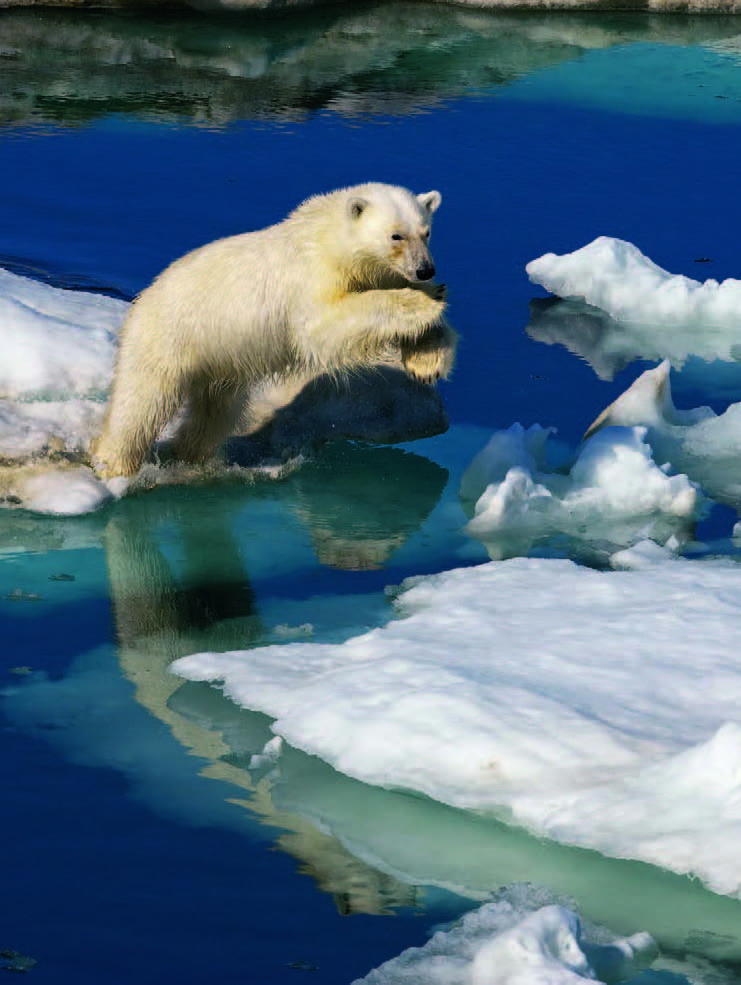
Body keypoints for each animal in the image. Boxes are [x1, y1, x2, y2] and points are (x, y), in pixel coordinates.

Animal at [92, 184, 456, 480]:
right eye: (396, 235)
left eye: (426, 232)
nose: (426, 269)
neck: (328, 237)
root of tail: (142, 301)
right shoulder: (311, 275)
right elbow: (324, 327)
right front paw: (427, 299)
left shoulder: (378, 272)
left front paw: (427, 363)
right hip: (167, 338)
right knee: (141, 403)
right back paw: (113, 464)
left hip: (220, 359)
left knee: (217, 409)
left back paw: (192, 455)